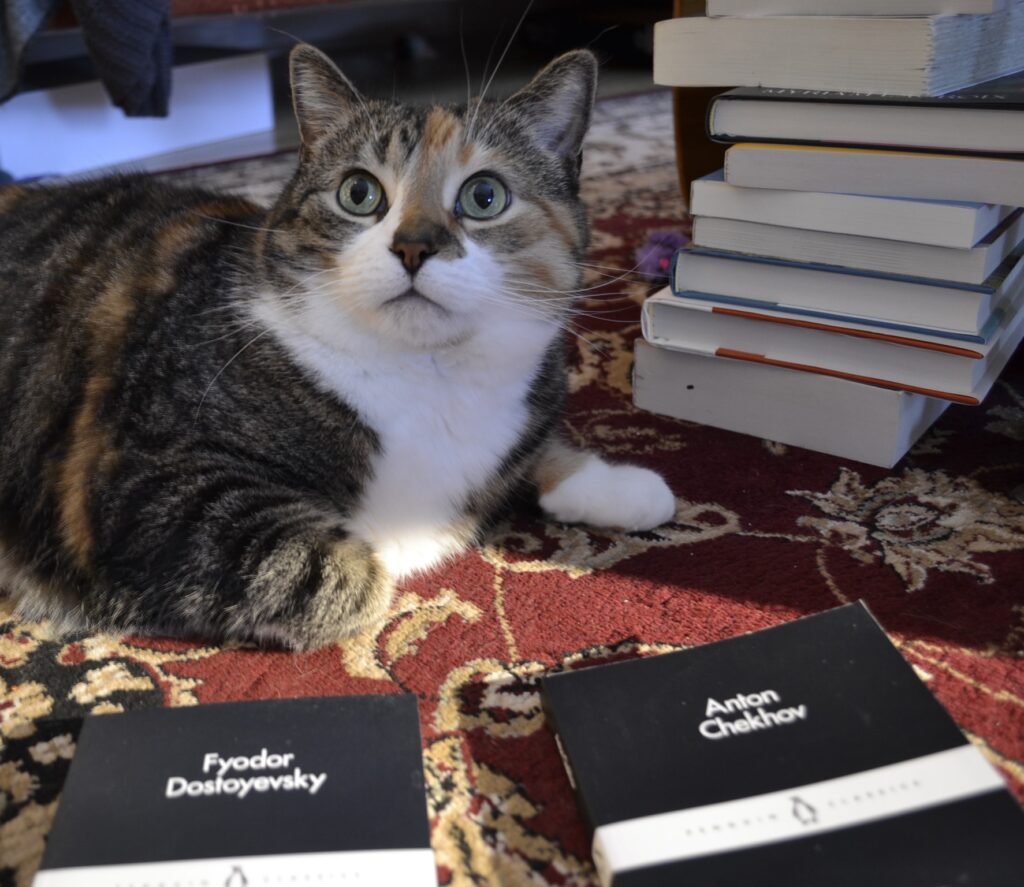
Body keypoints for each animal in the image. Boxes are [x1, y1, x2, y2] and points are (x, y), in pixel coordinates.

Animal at [0, 43, 675, 651]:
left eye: (484, 196)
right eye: (359, 193)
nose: (414, 246)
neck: (426, 375)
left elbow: (534, 450)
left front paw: (623, 487)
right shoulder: (147, 487)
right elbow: (353, 574)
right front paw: (400, 552)